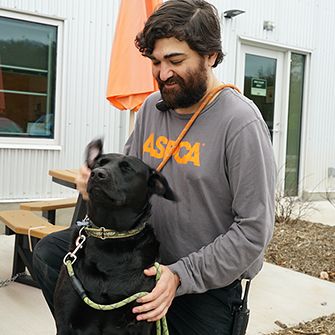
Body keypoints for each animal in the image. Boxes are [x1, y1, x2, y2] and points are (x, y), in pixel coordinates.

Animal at [53, 138, 177, 334]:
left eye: (127, 168)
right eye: (99, 163)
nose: (97, 174)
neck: (111, 240)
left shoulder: (140, 319)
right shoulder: (65, 320)